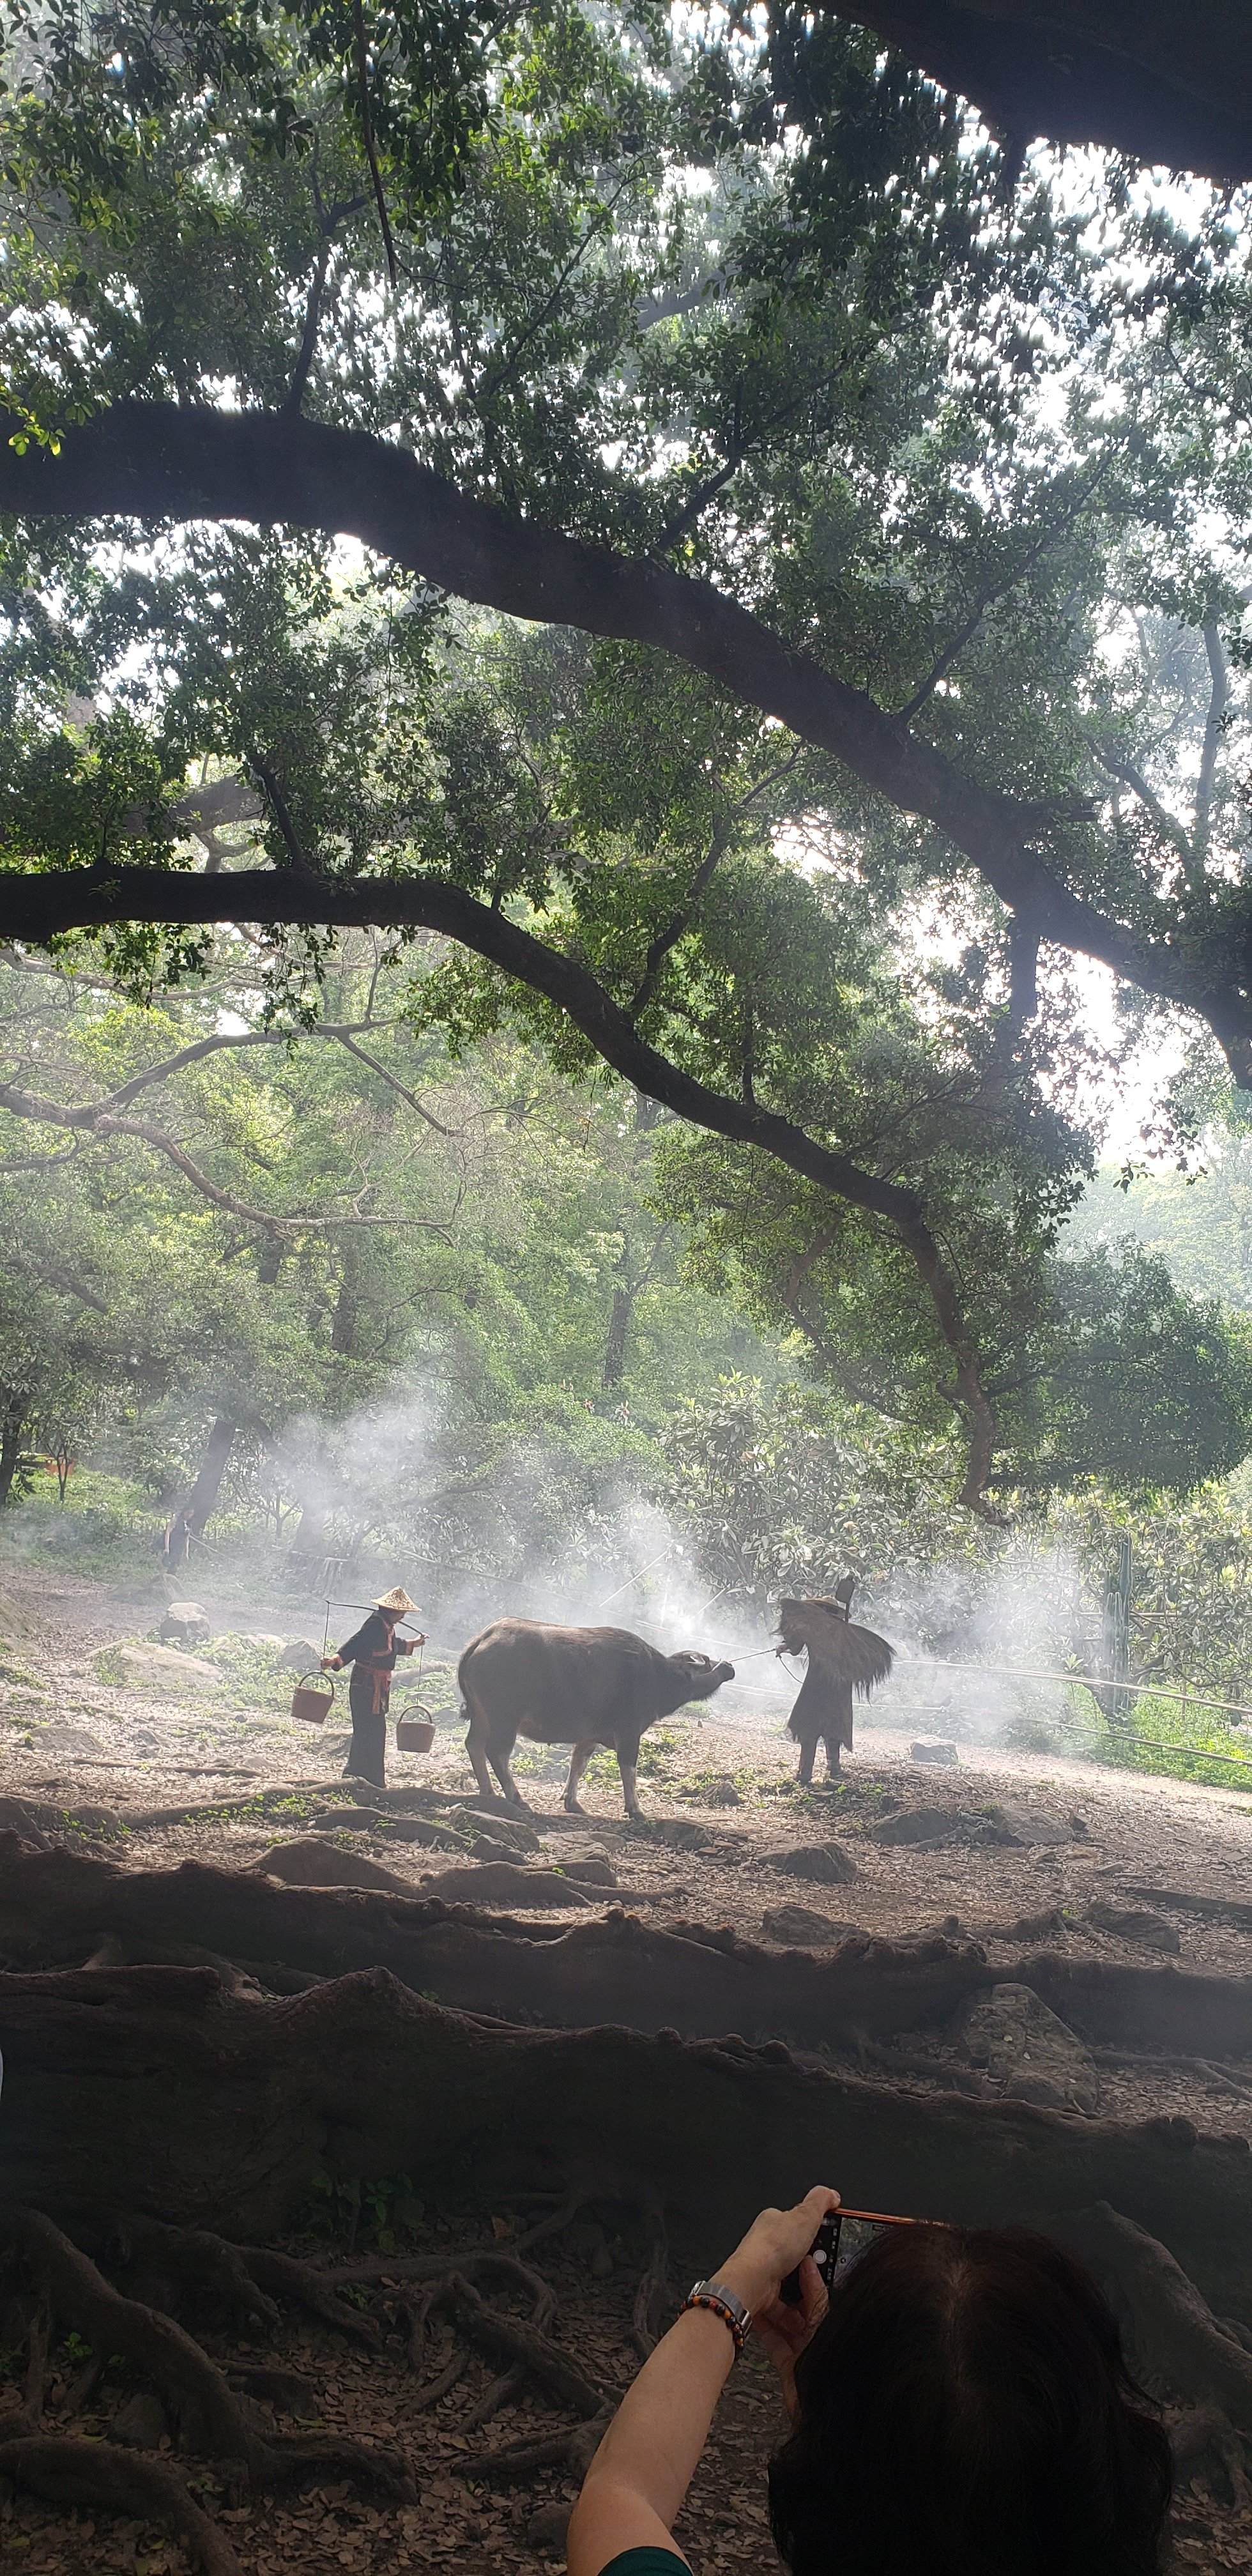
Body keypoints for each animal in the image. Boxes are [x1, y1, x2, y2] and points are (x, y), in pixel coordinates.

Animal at [458, 1618, 731, 1823]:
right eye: (706, 1662)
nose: (729, 1666)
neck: (657, 1676)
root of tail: (482, 1639)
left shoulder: (589, 1737)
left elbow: (578, 1764)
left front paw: (572, 1802)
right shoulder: (629, 1731)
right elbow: (628, 1769)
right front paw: (636, 1809)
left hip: (482, 1716)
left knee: (474, 1745)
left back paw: (488, 1792)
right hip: (505, 1718)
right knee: (497, 1752)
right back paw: (517, 1799)